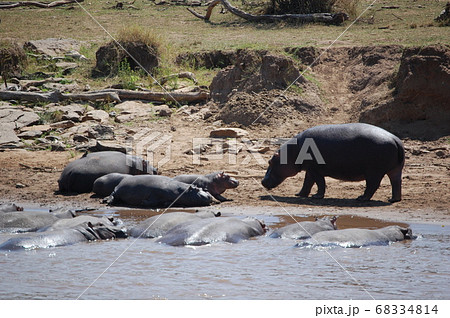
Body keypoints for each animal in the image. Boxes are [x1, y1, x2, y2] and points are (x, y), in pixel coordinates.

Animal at [260, 123, 404, 202]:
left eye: (270, 162)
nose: (262, 181)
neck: (292, 152)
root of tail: (395, 139)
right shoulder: (310, 169)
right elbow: (307, 183)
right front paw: (299, 194)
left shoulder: (315, 170)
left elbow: (319, 183)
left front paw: (316, 196)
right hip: (395, 170)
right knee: (396, 183)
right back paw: (393, 199)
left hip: (373, 172)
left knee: (372, 185)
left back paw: (361, 198)